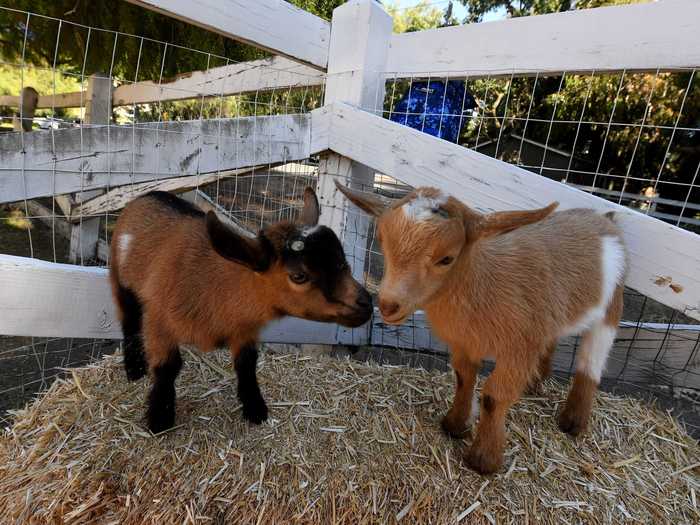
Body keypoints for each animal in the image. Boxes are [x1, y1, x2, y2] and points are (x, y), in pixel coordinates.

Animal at [110, 190, 372, 432]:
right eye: (299, 276)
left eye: (343, 260)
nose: (366, 304)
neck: (214, 286)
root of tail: (149, 194)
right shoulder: (159, 322)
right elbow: (167, 367)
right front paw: (160, 418)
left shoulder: (244, 329)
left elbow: (247, 364)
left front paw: (255, 409)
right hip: (120, 282)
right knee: (129, 321)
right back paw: (134, 369)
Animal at [336, 182, 628, 472]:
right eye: (382, 241)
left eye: (447, 258)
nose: (387, 305)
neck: (483, 284)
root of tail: (603, 217)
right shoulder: (464, 343)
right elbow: (463, 378)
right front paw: (455, 425)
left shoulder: (519, 348)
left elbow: (494, 397)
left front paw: (484, 459)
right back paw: (536, 384)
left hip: (611, 306)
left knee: (592, 360)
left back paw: (573, 422)